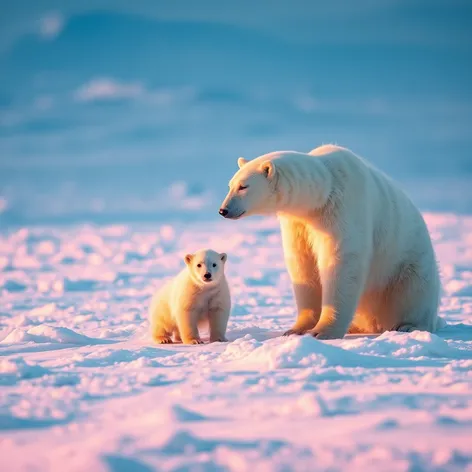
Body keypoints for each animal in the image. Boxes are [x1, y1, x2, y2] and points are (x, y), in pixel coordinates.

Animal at [219, 144, 440, 340]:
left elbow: (340, 262)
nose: (223, 210)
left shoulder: (342, 211)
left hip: (407, 265)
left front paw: (323, 331)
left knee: (413, 292)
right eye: (230, 185)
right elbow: (303, 264)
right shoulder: (298, 223)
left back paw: (409, 326)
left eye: (243, 186)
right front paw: (296, 329)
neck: (324, 192)